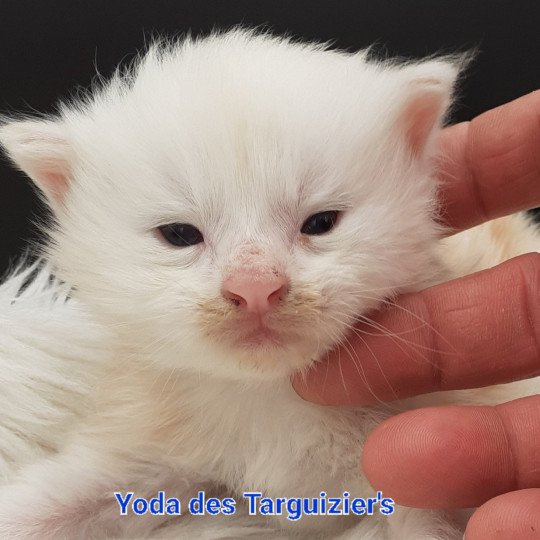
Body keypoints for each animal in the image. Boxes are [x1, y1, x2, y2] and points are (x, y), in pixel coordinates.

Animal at [0, 30, 536, 540]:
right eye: (179, 234)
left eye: (321, 222)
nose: (255, 288)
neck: (270, 398)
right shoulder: (145, 441)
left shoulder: (415, 462)